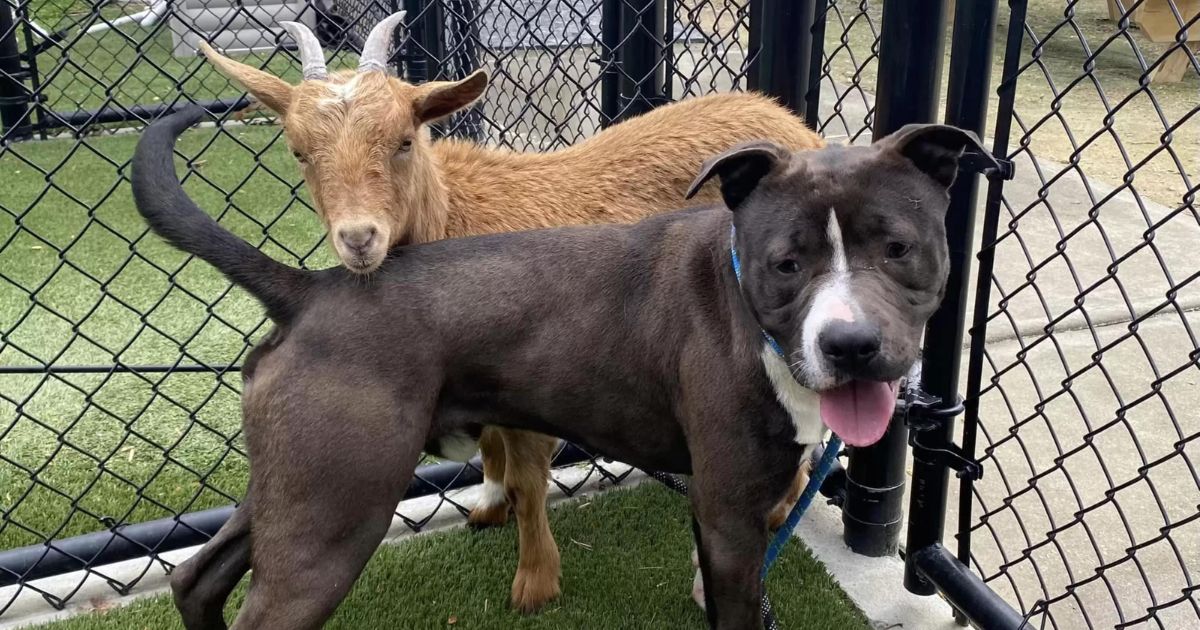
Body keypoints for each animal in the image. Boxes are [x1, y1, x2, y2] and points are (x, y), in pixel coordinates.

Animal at [129, 105, 993, 624]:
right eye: (787, 263)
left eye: (898, 248)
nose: (851, 346)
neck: (745, 303)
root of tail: (312, 289)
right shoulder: (729, 515)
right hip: (334, 516)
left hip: (297, 487)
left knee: (198, 576)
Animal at [204, 11, 825, 614]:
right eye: (299, 152)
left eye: (404, 141)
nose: (360, 239)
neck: (454, 215)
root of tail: (792, 123)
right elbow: (489, 450)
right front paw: (488, 505)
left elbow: (529, 483)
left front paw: (534, 582)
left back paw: (773, 517)